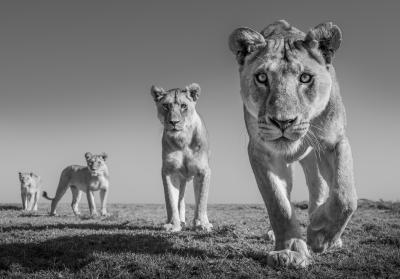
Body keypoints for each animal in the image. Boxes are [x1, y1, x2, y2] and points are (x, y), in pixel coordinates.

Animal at [150, 84, 212, 233]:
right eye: (166, 106)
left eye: (184, 106)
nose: (174, 122)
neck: (182, 140)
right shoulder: (169, 171)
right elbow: (171, 201)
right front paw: (174, 225)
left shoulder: (204, 171)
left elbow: (201, 200)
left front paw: (203, 224)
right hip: (182, 178)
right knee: (180, 200)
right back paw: (180, 222)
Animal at [230, 20, 358, 268]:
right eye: (262, 78)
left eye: (305, 78)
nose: (283, 122)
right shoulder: (261, 151)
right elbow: (278, 203)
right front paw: (289, 251)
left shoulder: (334, 141)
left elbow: (345, 195)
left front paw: (319, 234)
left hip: (314, 160)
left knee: (320, 187)